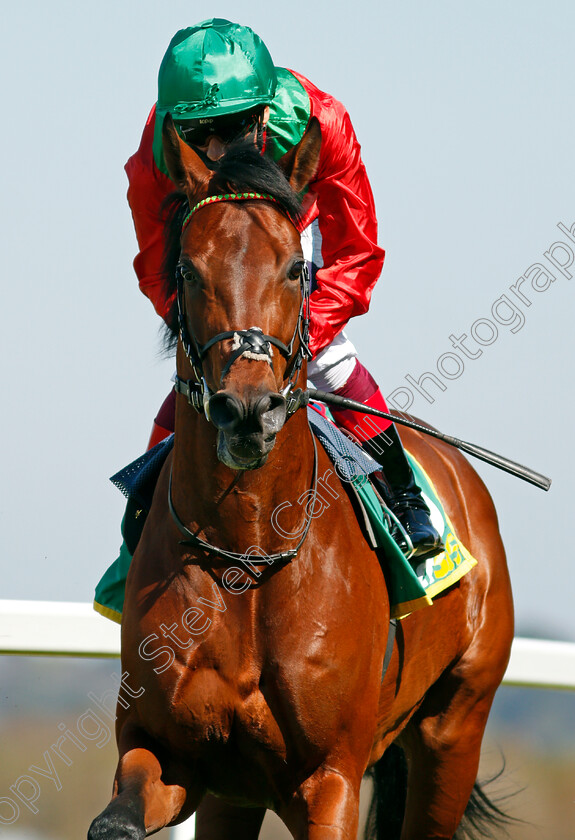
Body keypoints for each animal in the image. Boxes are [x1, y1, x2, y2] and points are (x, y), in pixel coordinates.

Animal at [89, 118, 512, 840]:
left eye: (295, 268)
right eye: (187, 269)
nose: (246, 410)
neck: (248, 554)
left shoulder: (330, 779)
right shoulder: (170, 753)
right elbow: (115, 819)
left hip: (453, 729)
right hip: (236, 797)